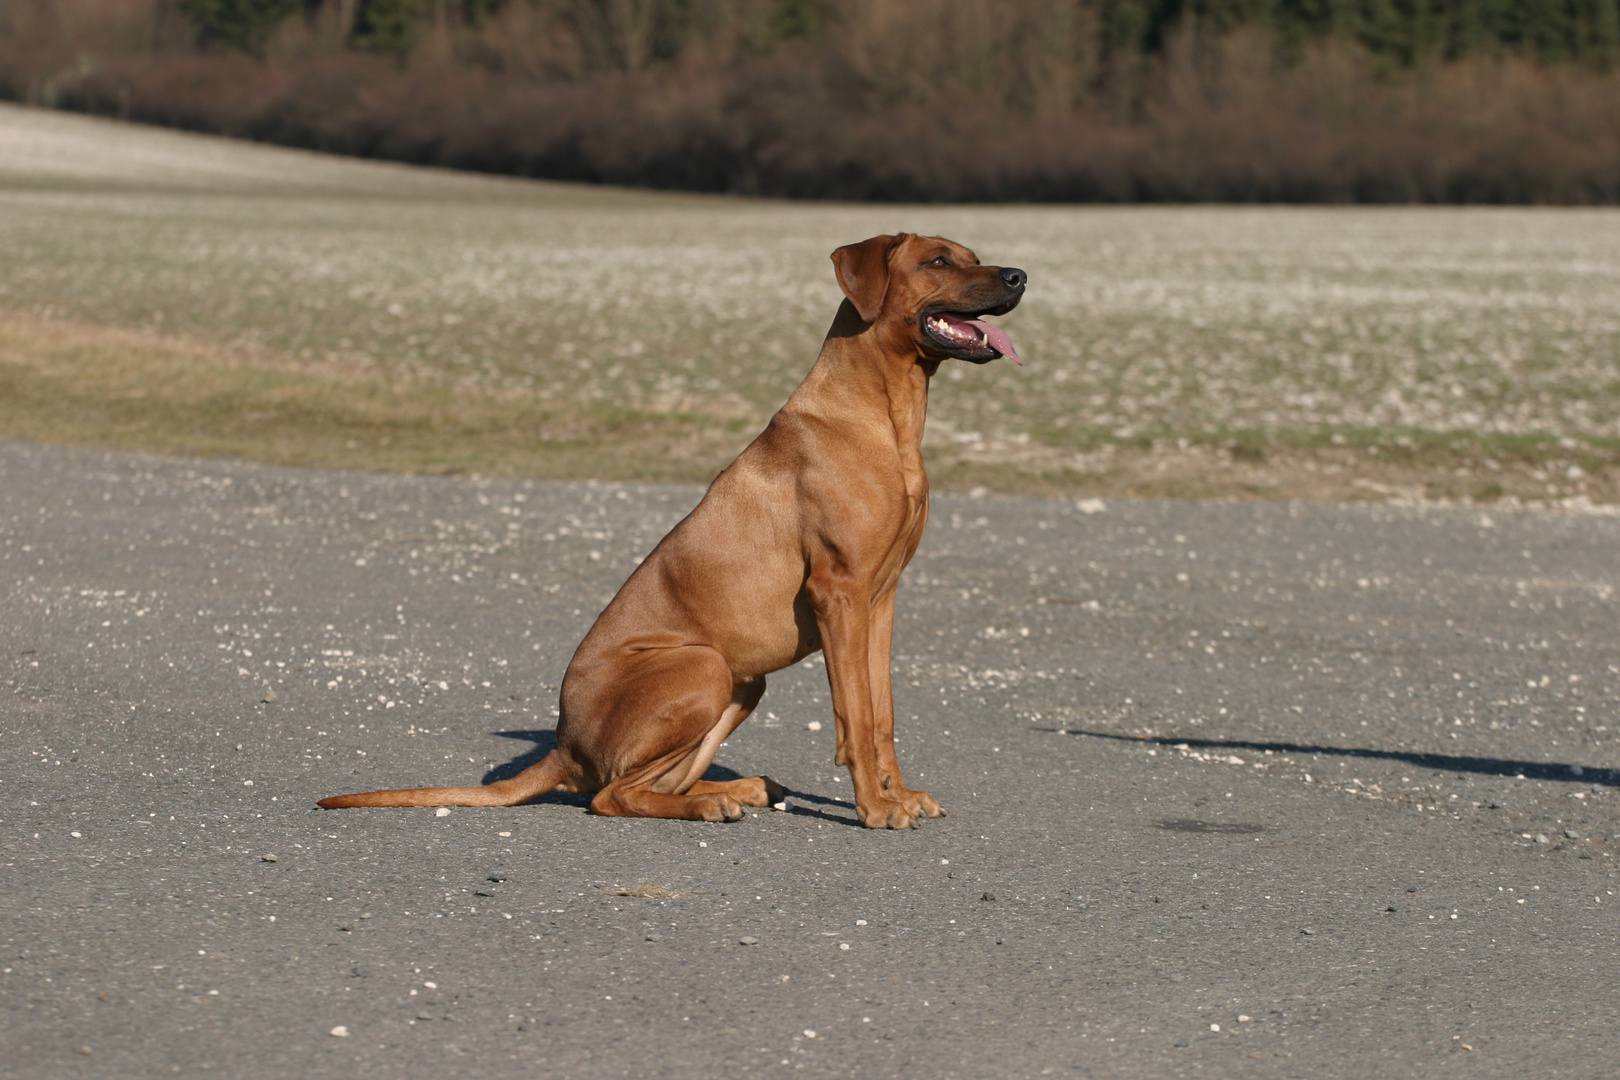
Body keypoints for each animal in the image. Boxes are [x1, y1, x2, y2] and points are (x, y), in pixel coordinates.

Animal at [315, 234, 1023, 829]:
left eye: (972, 253)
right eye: (938, 261)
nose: (1019, 276)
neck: (886, 416)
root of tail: (563, 747)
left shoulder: (881, 598)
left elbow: (883, 714)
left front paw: (899, 793)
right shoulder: (840, 594)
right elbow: (854, 713)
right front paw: (876, 808)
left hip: (741, 681)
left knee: (649, 783)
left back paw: (736, 790)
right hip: (703, 665)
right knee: (611, 795)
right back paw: (712, 802)